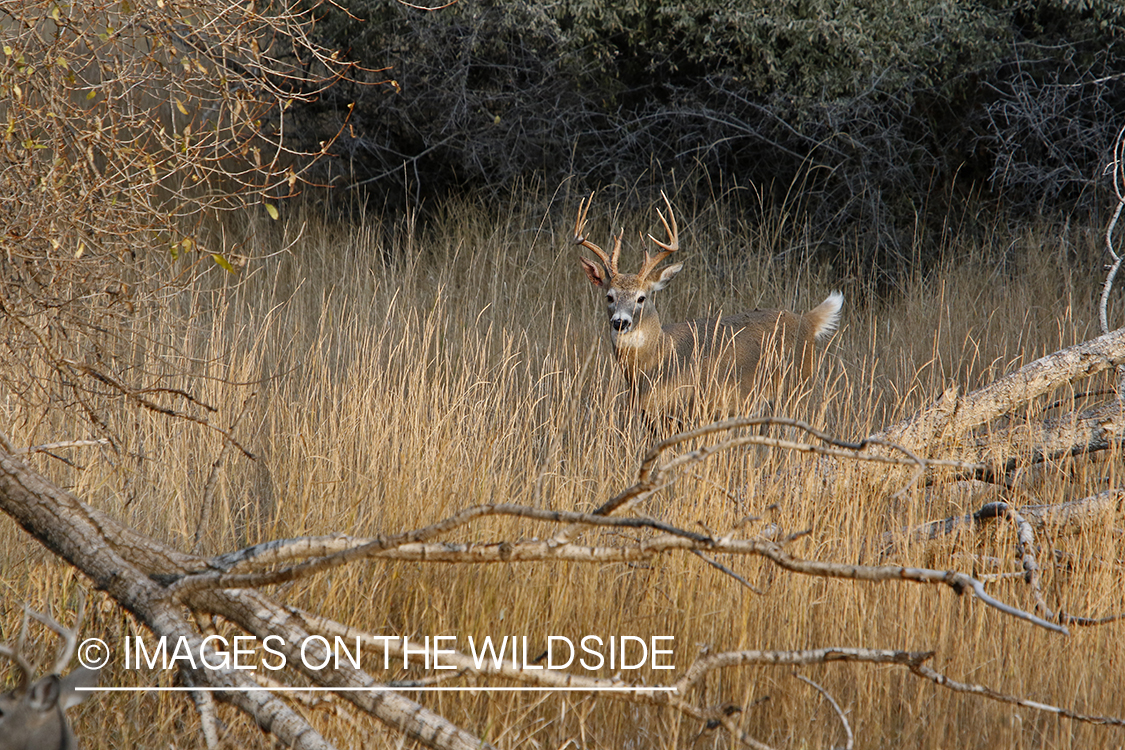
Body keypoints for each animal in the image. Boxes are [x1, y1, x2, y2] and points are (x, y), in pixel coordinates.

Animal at [576, 191, 841, 427]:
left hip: (796, 390)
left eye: (642, 298)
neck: (658, 358)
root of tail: (808, 321)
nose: (620, 321)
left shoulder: (691, 408)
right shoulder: (650, 416)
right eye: (609, 296)